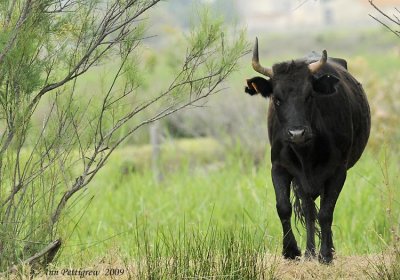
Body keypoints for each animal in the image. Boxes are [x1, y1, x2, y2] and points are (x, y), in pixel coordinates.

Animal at [244, 38, 372, 264]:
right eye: (276, 98)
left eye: (309, 96)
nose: (297, 133)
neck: (306, 152)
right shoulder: (279, 168)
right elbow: (284, 207)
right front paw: (291, 250)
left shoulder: (338, 172)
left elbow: (326, 213)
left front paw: (326, 254)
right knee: (309, 210)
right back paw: (310, 251)